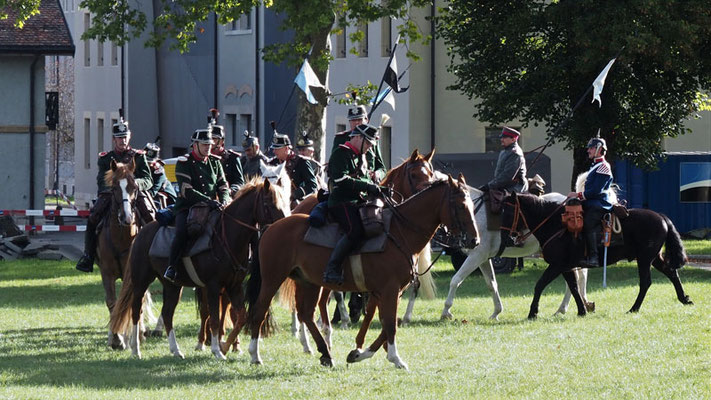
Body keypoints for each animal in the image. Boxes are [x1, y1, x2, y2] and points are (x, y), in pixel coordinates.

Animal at [96, 161, 159, 348]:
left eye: (134, 187)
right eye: (115, 187)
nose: (126, 217)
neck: (121, 237)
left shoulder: (130, 273)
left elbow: (133, 302)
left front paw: (137, 336)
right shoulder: (106, 273)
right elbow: (112, 302)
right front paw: (116, 338)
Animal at [109, 178, 292, 360]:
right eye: (269, 203)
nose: (283, 227)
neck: (227, 236)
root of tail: (141, 233)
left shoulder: (234, 286)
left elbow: (241, 316)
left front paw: (225, 346)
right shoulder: (213, 286)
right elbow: (215, 318)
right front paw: (217, 350)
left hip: (173, 286)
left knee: (167, 313)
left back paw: (176, 350)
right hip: (141, 281)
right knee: (136, 310)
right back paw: (136, 349)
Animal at [245, 174, 478, 368]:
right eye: (460, 205)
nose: (474, 240)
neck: (399, 232)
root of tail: (271, 227)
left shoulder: (391, 292)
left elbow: (385, 324)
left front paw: (359, 353)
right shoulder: (390, 290)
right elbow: (390, 325)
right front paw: (395, 358)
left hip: (308, 283)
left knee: (306, 314)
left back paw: (325, 353)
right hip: (272, 280)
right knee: (260, 311)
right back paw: (255, 355)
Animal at [500, 192, 696, 320]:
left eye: (507, 212)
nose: (508, 239)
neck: (555, 225)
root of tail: (662, 217)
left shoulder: (557, 265)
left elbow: (540, 285)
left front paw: (532, 312)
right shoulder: (566, 267)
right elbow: (574, 287)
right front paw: (582, 311)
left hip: (645, 259)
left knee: (646, 282)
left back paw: (634, 309)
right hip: (654, 258)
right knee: (671, 273)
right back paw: (684, 299)